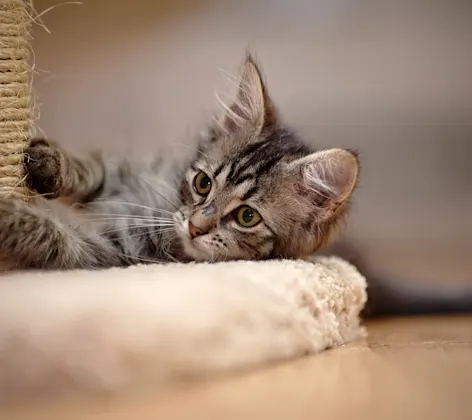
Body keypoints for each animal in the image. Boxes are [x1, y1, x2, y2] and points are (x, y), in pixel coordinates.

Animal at [0, 53, 470, 316]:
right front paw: (48, 164)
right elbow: (92, 168)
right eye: (203, 183)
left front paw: (11, 215)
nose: (196, 225)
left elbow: (57, 236)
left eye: (246, 217)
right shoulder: (127, 173)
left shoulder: (112, 257)